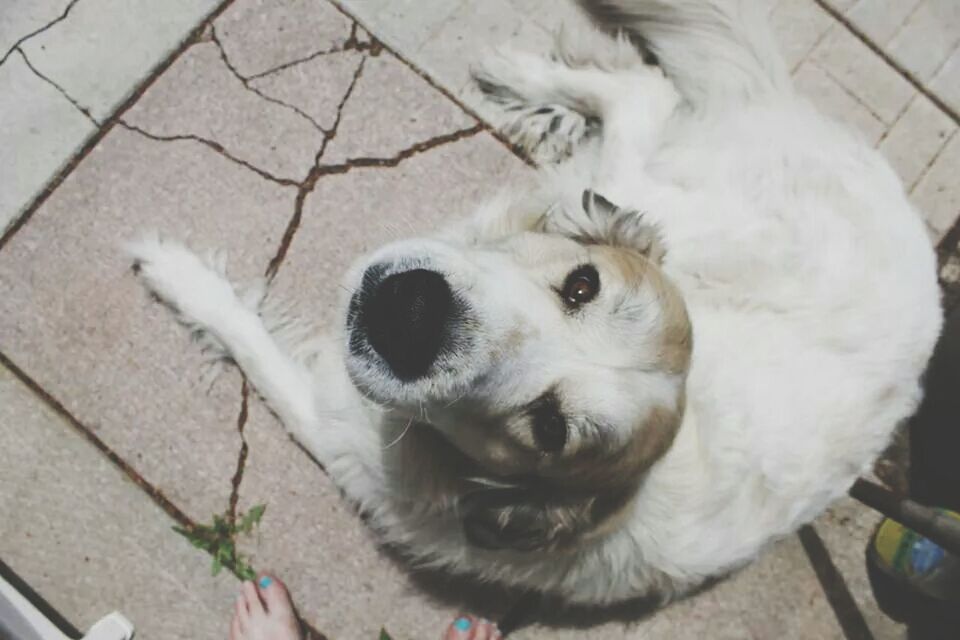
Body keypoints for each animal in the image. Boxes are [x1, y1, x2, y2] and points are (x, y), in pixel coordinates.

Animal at [125, 0, 936, 604]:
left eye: (550, 430)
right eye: (582, 284)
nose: (411, 313)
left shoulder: (344, 430)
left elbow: (246, 336)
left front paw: (176, 273)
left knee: (644, 92)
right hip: (647, 190)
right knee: (638, 92)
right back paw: (522, 76)